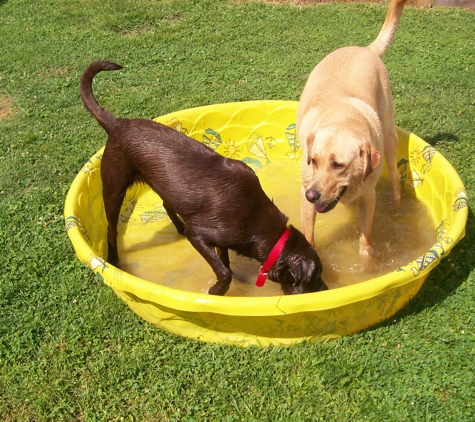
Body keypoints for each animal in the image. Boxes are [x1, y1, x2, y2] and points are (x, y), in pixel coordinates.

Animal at [298, 0, 406, 258]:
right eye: (314, 161)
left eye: (338, 165)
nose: (312, 195)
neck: (342, 119)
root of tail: (366, 49)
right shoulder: (305, 198)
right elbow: (309, 237)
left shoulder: (368, 196)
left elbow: (366, 239)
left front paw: (368, 261)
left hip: (389, 137)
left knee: (395, 178)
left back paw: (397, 209)